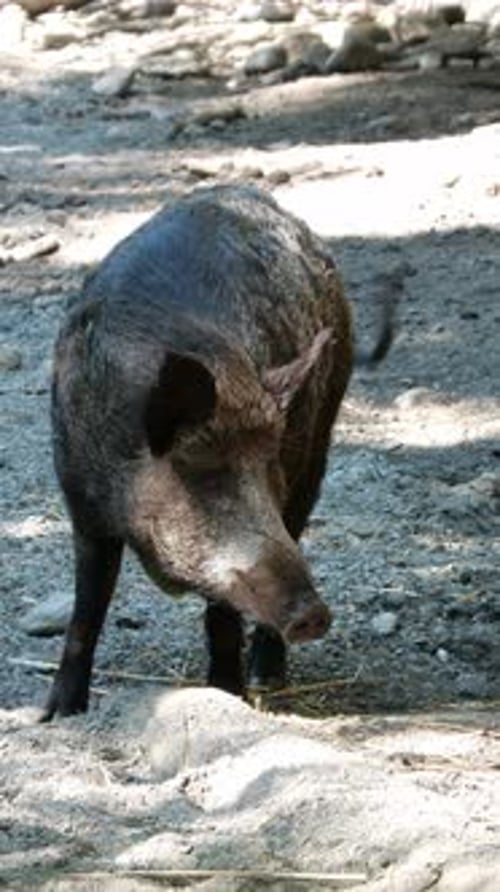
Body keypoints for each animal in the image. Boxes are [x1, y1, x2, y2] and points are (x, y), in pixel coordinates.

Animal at [43, 184, 354, 720]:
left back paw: (266, 678)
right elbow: (87, 608)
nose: (314, 614)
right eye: (204, 474)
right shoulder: (82, 501)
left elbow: (221, 616)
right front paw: (58, 714)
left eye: (268, 472)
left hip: (319, 446)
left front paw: (228, 695)